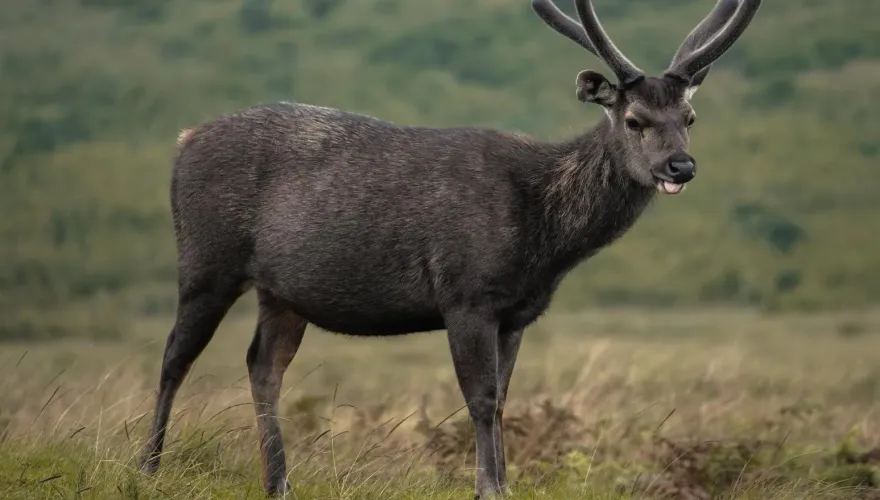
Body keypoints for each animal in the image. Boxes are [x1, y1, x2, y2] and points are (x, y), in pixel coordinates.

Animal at [138, 0, 762, 497]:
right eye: (633, 119)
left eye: (689, 116)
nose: (680, 165)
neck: (544, 239)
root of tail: (183, 139)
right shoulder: (465, 295)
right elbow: (480, 399)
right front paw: (489, 488)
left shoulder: (517, 313)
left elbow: (504, 398)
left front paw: (503, 483)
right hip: (206, 259)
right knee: (174, 356)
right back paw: (148, 468)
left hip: (282, 293)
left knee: (263, 365)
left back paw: (279, 482)